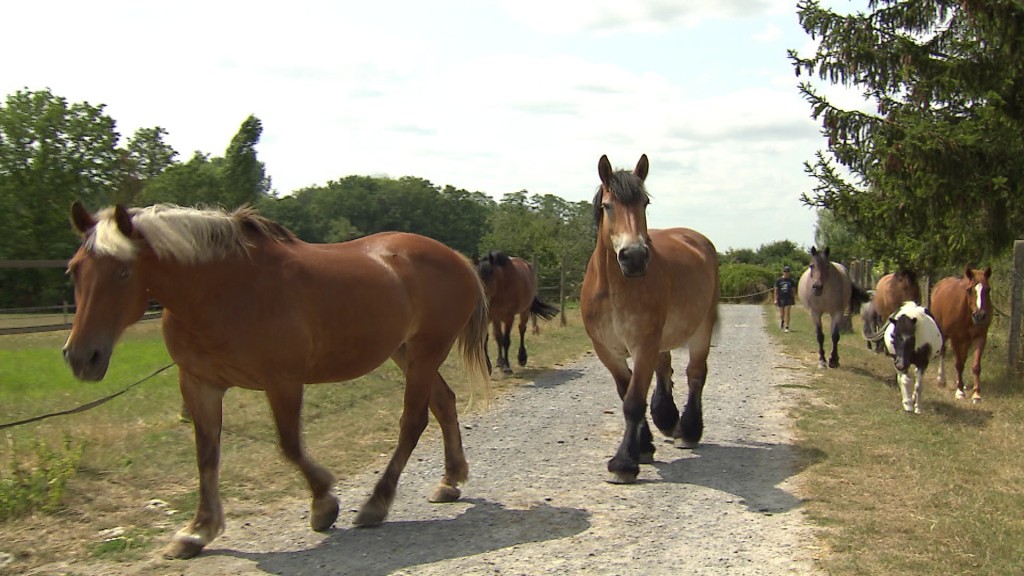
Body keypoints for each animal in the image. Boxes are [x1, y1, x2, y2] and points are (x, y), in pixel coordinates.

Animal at [61, 201, 489, 557]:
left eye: (123, 271)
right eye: (74, 269)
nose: (82, 357)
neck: (224, 289)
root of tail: (456, 257)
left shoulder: (282, 381)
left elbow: (290, 446)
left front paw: (324, 503)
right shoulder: (199, 385)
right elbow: (206, 455)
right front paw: (198, 530)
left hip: (424, 353)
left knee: (413, 421)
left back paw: (376, 503)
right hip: (406, 353)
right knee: (444, 403)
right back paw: (450, 480)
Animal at [585, 153, 720, 483]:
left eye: (644, 203)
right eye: (608, 206)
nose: (634, 257)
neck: (613, 287)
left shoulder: (643, 344)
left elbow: (634, 400)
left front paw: (624, 462)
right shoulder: (607, 350)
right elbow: (627, 393)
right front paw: (643, 447)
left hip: (702, 329)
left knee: (695, 374)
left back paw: (688, 430)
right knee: (664, 368)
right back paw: (667, 418)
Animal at [929, 266, 991, 401]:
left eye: (988, 289)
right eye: (969, 289)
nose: (980, 316)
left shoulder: (980, 337)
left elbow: (975, 366)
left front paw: (976, 394)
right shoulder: (955, 339)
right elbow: (959, 364)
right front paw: (960, 391)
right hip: (943, 333)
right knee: (943, 351)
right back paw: (941, 379)